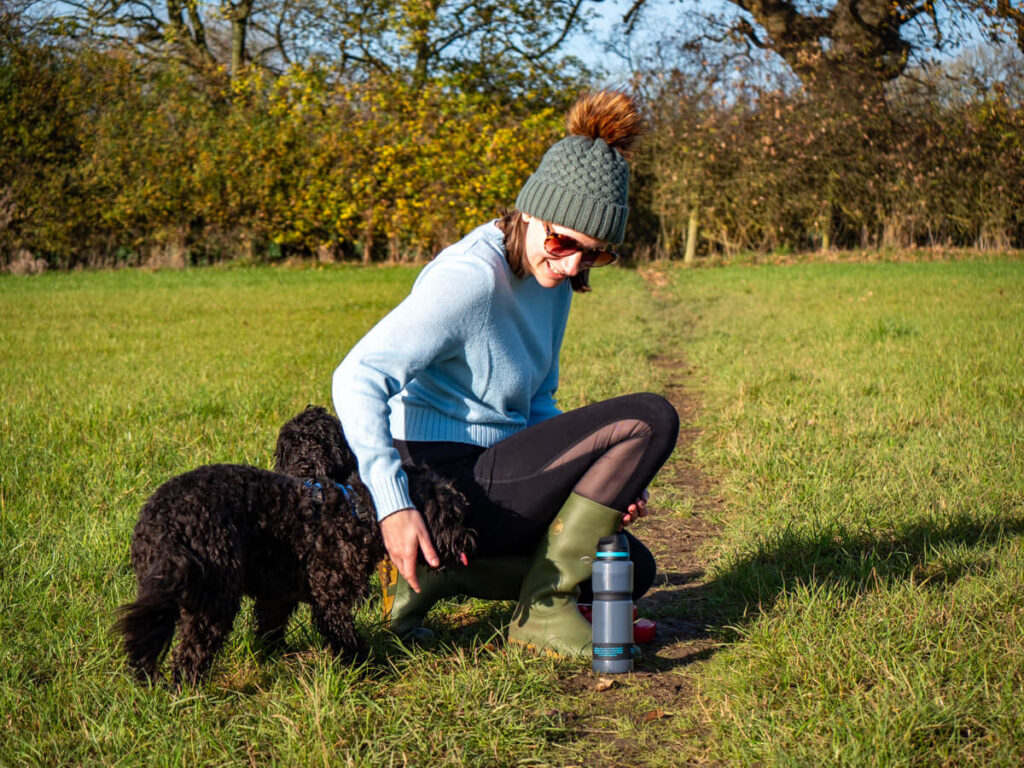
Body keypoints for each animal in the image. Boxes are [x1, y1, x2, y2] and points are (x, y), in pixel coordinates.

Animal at [113, 405, 475, 688]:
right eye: (451, 515)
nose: (469, 540)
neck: (355, 509)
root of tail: (164, 522)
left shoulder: (278, 594)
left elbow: (269, 629)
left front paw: (273, 656)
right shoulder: (330, 596)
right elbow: (345, 635)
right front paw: (367, 666)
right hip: (214, 600)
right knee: (189, 653)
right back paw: (187, 693)